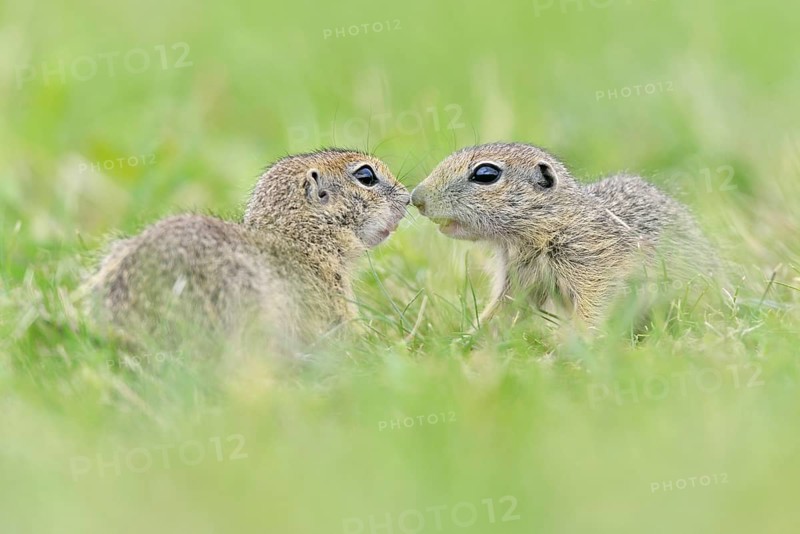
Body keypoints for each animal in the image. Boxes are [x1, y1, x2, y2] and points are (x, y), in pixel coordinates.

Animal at [411, 142, 717, 326]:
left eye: (485, 174)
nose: (416, 198)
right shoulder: (518, 277)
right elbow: (506, 308)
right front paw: (469, 339)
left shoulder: (595, 264)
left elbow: (596, 302)